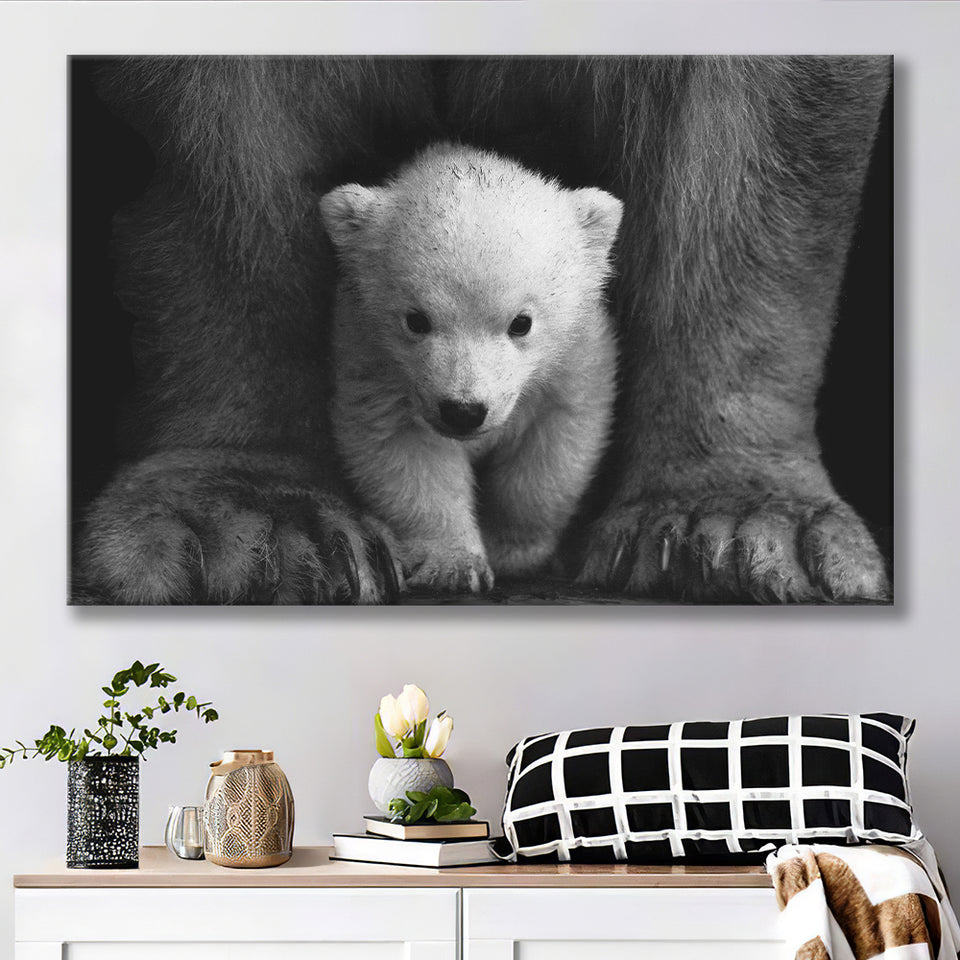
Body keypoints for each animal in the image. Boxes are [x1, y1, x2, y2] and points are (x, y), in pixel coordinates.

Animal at [319, 143, 622, 593]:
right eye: (416, 320)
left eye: (521, 322)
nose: (463, 411)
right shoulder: (373, 361)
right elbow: (406, 452)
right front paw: (454, 565)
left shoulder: (575, 359)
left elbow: (553, 448)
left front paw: (513, 551)